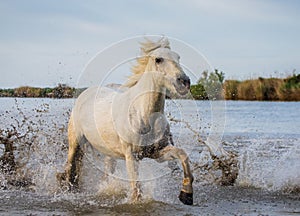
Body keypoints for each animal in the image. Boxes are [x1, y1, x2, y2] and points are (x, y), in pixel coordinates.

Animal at [57, 38, 195, 205]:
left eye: (178, 57)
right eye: (158, 59)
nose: (184, 82)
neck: (144, 115)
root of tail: (85, 93)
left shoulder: (156, 153)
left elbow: (182, 154)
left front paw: (186, 194)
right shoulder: (131, 156)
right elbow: (136, 191)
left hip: (109, 154)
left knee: (104, 175)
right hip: (75, 143)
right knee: (70, 170)